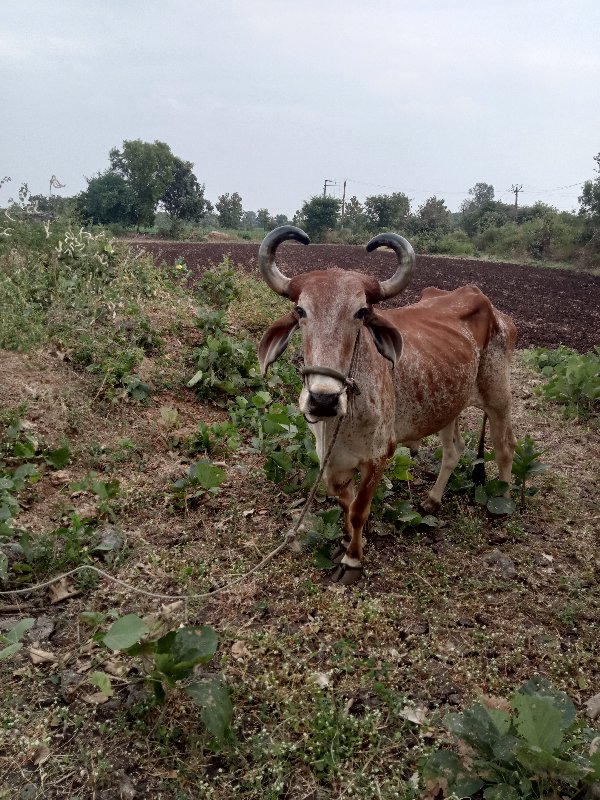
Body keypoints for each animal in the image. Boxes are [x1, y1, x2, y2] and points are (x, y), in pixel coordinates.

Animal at [258, 228, 516, 584]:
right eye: (300, 311)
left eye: (361, 312)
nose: (323, 399)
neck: (342, 422)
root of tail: (492, 307)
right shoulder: (332, 463)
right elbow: (346, 504)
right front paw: (349, 542)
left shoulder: (380, 455)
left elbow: (359, 510)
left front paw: (353, 560)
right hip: (448, 403)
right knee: (454, 450)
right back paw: (432, 501)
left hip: (497, 397)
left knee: (505, 448)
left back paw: (503, 500)